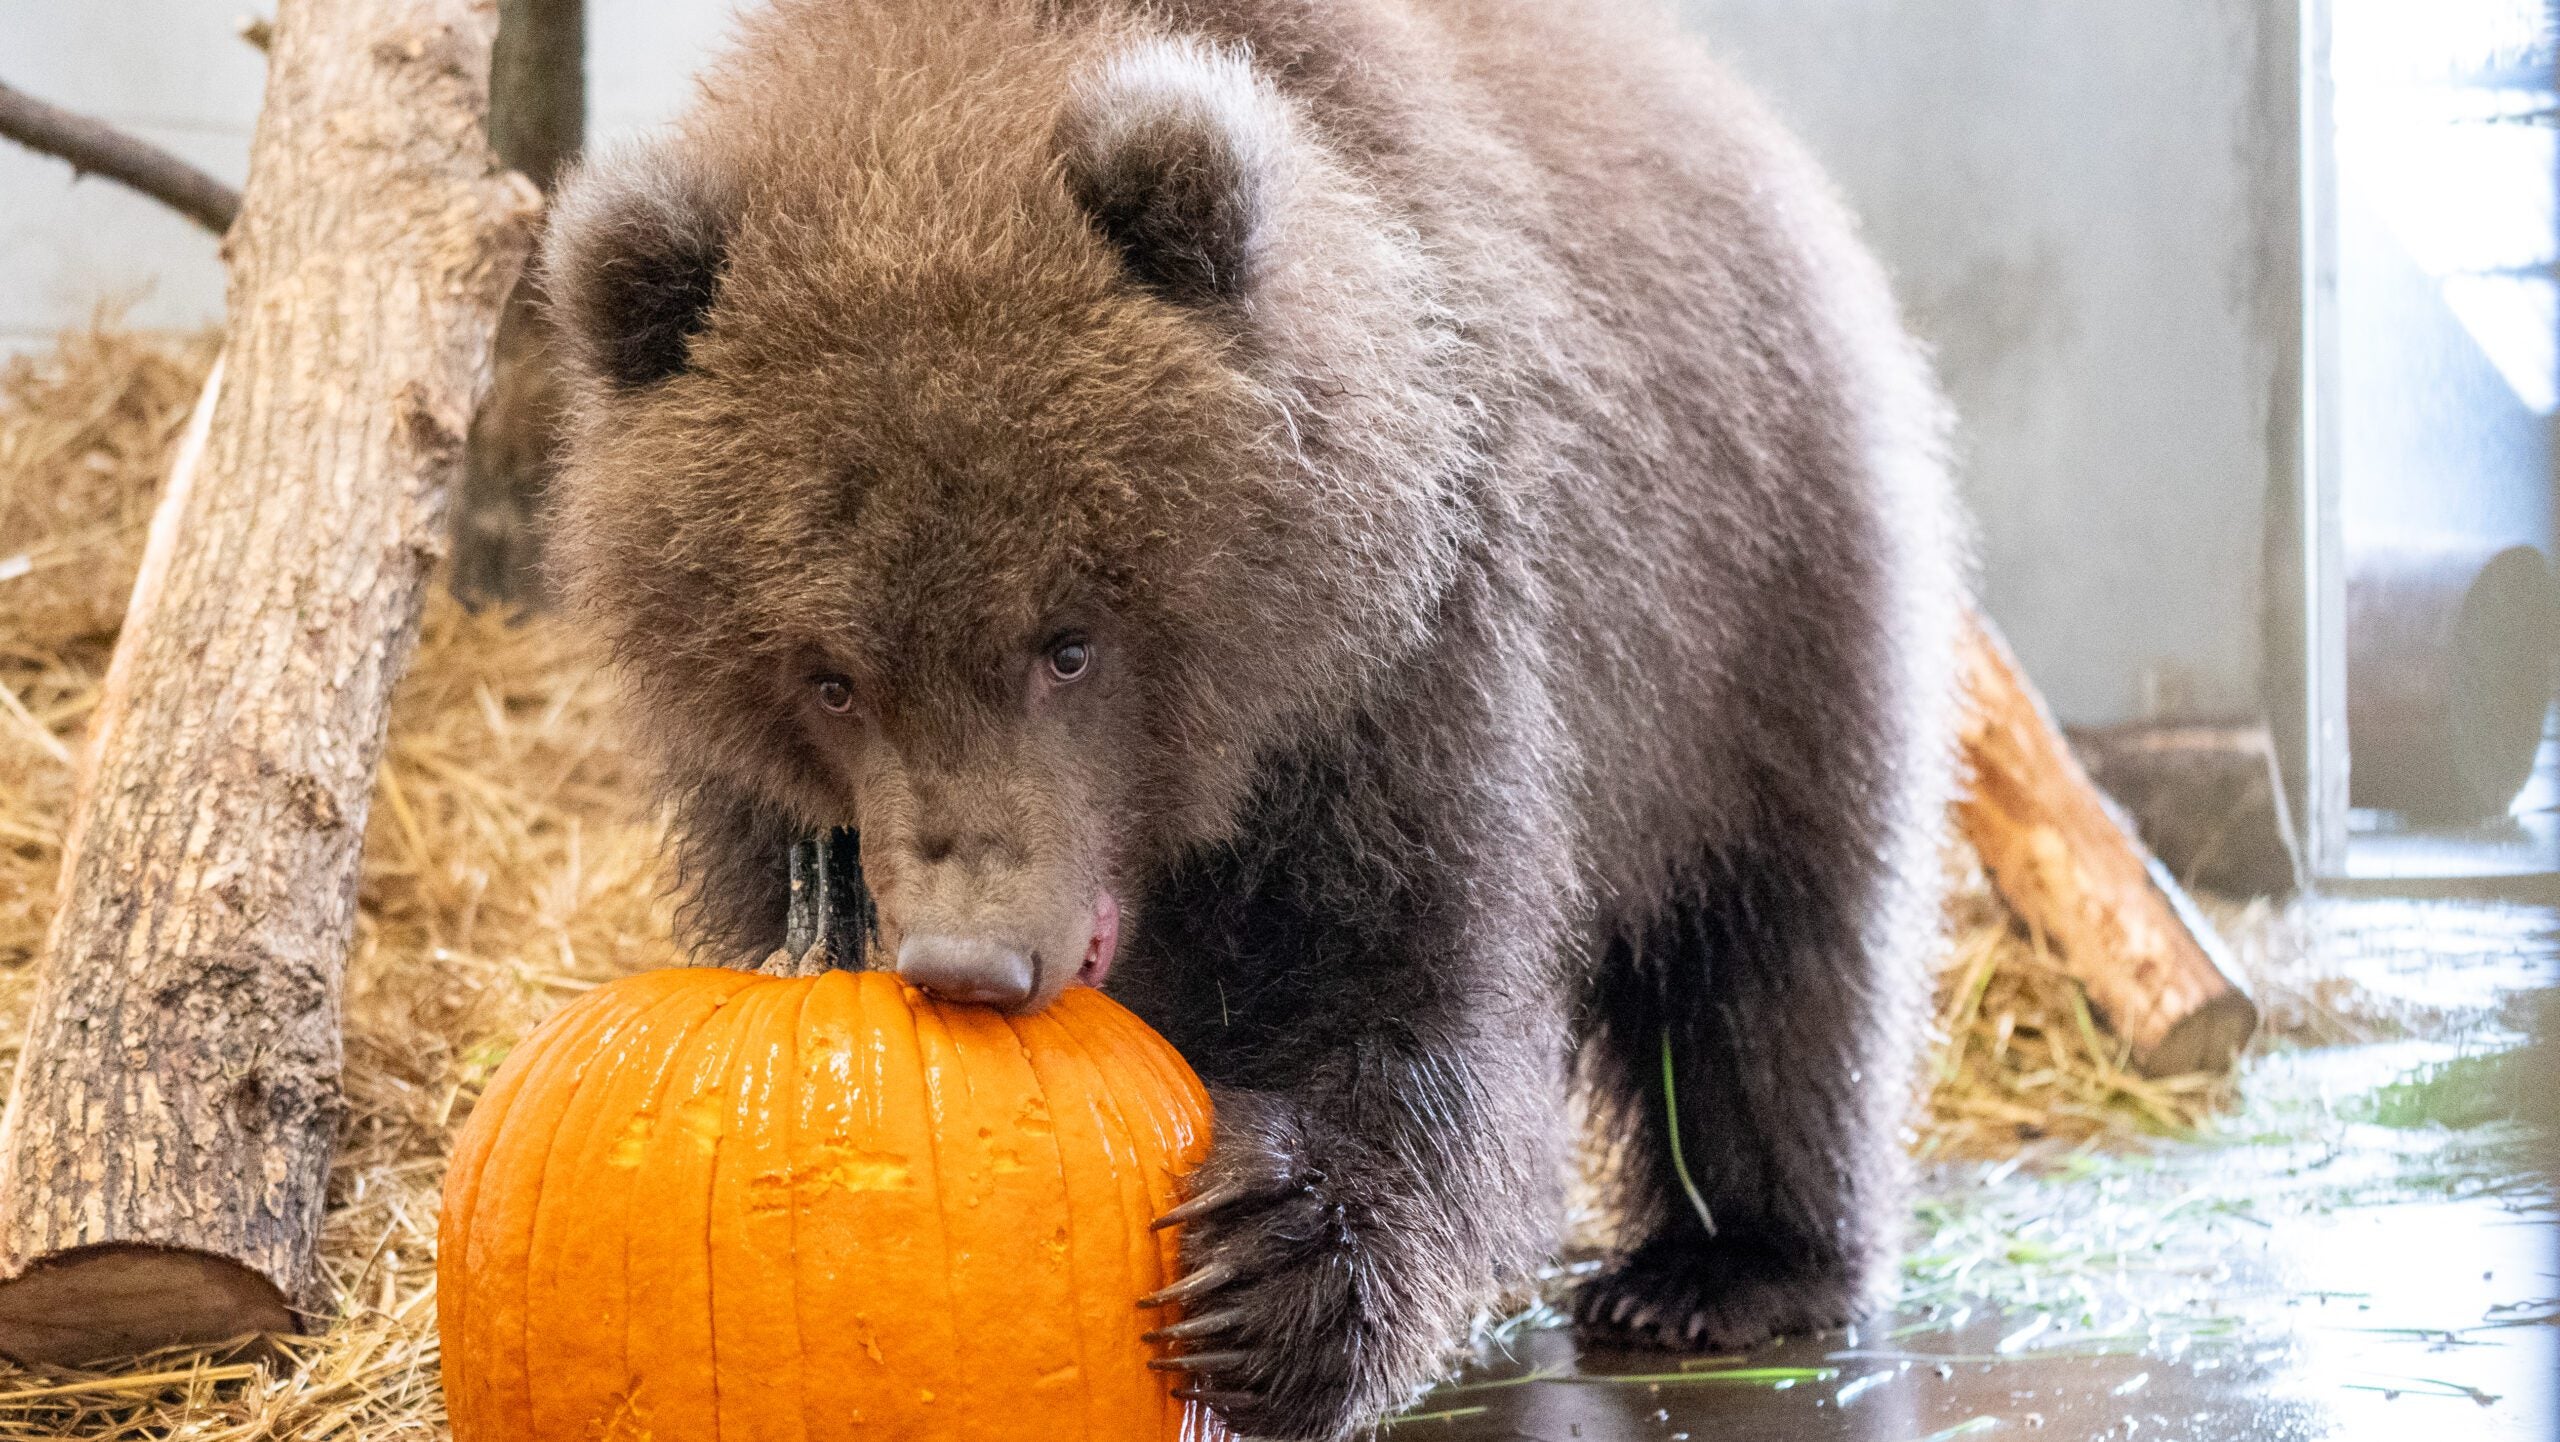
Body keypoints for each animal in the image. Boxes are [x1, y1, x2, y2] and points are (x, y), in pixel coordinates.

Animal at [537, 0, 1963, 1436]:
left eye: (1068, 642)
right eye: (832, 676)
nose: (972, 958)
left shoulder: (1413, 668)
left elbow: (1411, 995)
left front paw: (1270, 1263)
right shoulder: (764, 802)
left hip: (1753, 594)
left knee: (1780, 944)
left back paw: (1720, 1268)